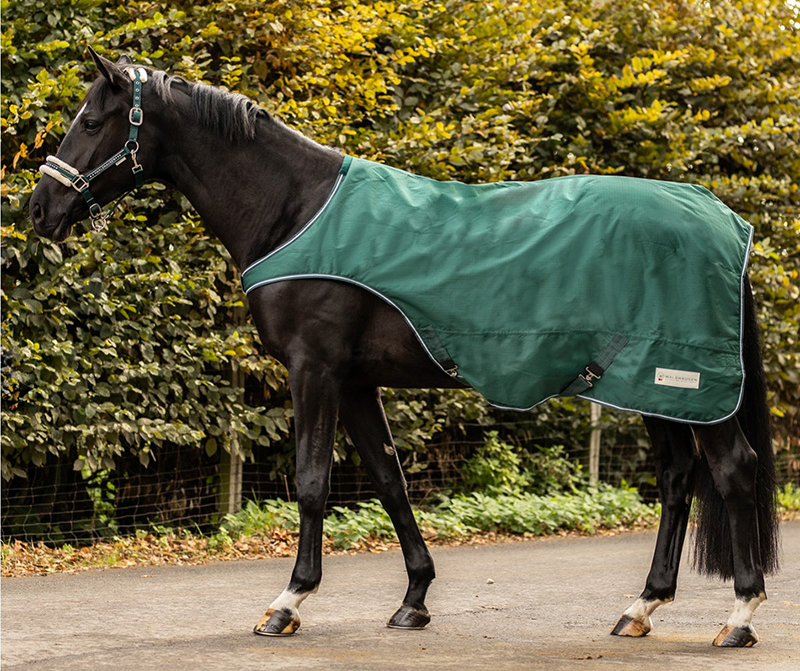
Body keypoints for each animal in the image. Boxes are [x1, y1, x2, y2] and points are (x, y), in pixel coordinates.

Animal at [29, 49, 779, 647]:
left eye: (91, 122)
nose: (40, 209)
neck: (294, 209)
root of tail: (724, 219)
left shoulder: (315, 371)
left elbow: (311, 481)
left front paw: (287, 603)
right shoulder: (356, 381)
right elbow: (390, 482)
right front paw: (415, 598)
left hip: (679, 384)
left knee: (732, 470)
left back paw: (739, 615)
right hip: (651, 385)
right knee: (678, 480)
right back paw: (642, 607)